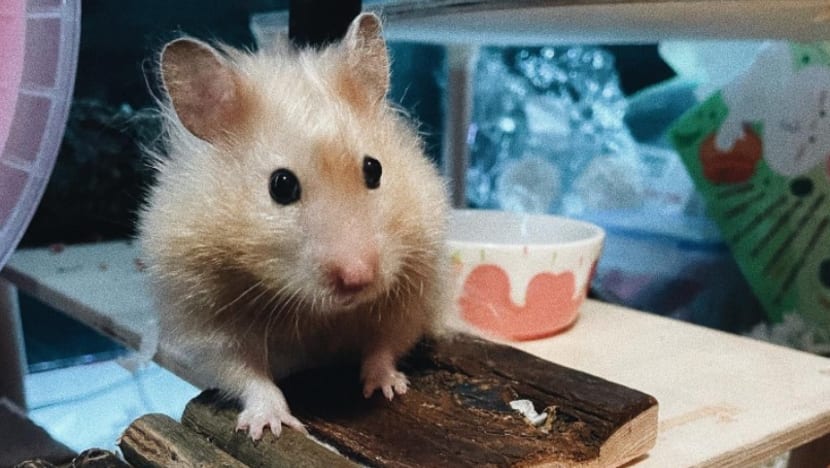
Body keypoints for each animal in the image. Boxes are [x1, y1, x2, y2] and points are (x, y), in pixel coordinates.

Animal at [137, 12, 450, 440]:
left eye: (374, 169)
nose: (358, 278)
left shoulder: (411, 292)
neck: (318, 311)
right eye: (281, 185)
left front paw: (387, 389)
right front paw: (267, 427)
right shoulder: (205, 316)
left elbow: (384, 345)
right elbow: (247, 373)